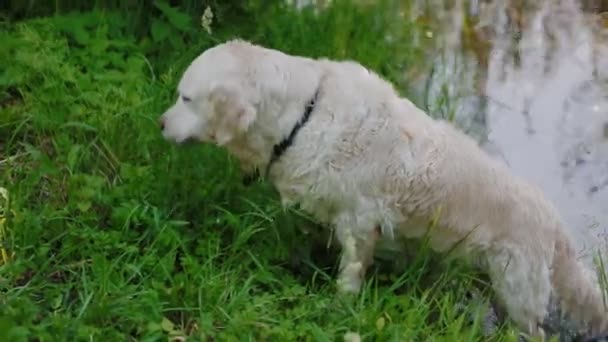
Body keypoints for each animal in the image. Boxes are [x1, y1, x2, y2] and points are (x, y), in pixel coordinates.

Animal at [160, 40, 608, 340]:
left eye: (186, 98)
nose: (160, 124)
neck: (303, 115)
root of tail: (554, 222)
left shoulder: (361, 220)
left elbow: (351, 273)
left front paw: (339, 306)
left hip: (520, 287)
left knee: (534, 330)